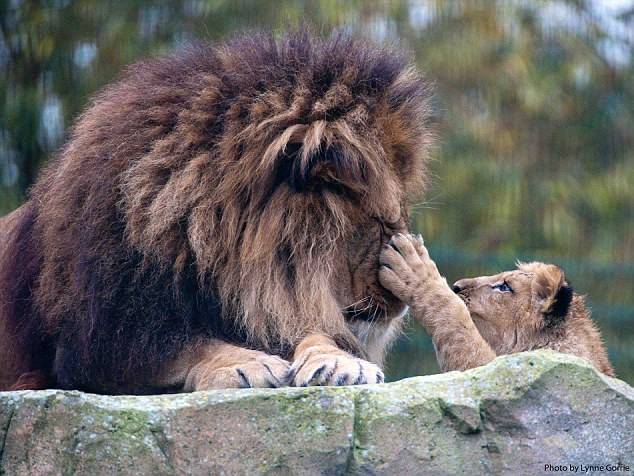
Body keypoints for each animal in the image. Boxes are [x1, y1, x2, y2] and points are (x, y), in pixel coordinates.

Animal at [0, 30, 430, 394]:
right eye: (382, 222)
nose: (402, 303)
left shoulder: (270, 301)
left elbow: (314, 331)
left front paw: (340, 362)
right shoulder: (92, 346)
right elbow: (184, 346)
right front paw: (248, 365)